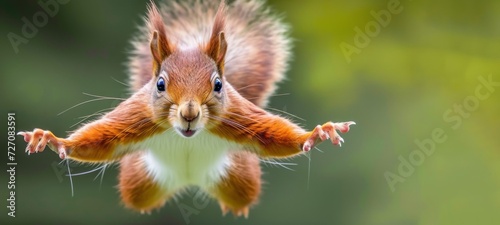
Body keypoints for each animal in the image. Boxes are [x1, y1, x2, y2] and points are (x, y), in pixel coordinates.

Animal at [17, 0, 356, 218]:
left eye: (218, 85)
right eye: (160, 84)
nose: (189, 113)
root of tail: (189, 180)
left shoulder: (236, 117)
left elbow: (271, 135)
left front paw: (317, 134)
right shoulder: (139, 116)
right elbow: (101, 138)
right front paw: (53, 140)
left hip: (239, 176)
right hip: (140, 179)